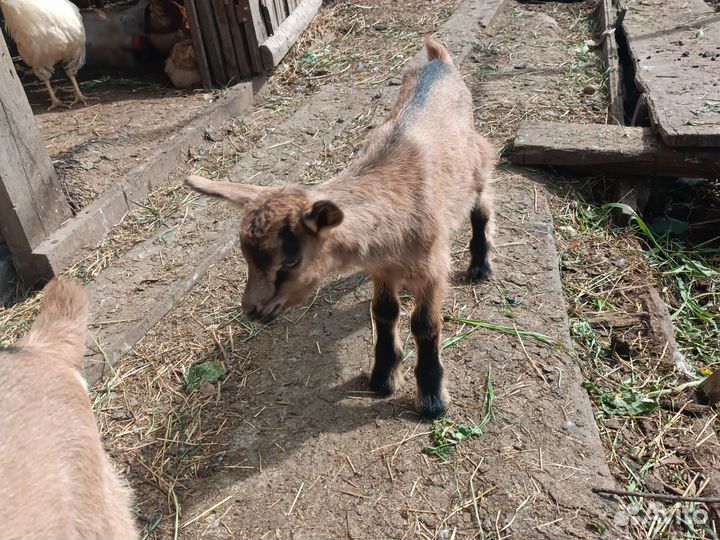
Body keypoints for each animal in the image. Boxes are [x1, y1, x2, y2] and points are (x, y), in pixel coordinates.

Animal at [186, 36, 495, 418]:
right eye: (246, 258)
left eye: (291, 260)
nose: (252, 310)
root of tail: (440, 61)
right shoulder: (382, 266)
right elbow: (384, 312)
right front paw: (382, 377)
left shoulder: (433, 267)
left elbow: (425, 325)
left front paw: (432, 398)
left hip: (477, 160)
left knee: (482, 205)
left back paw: (481, 265)